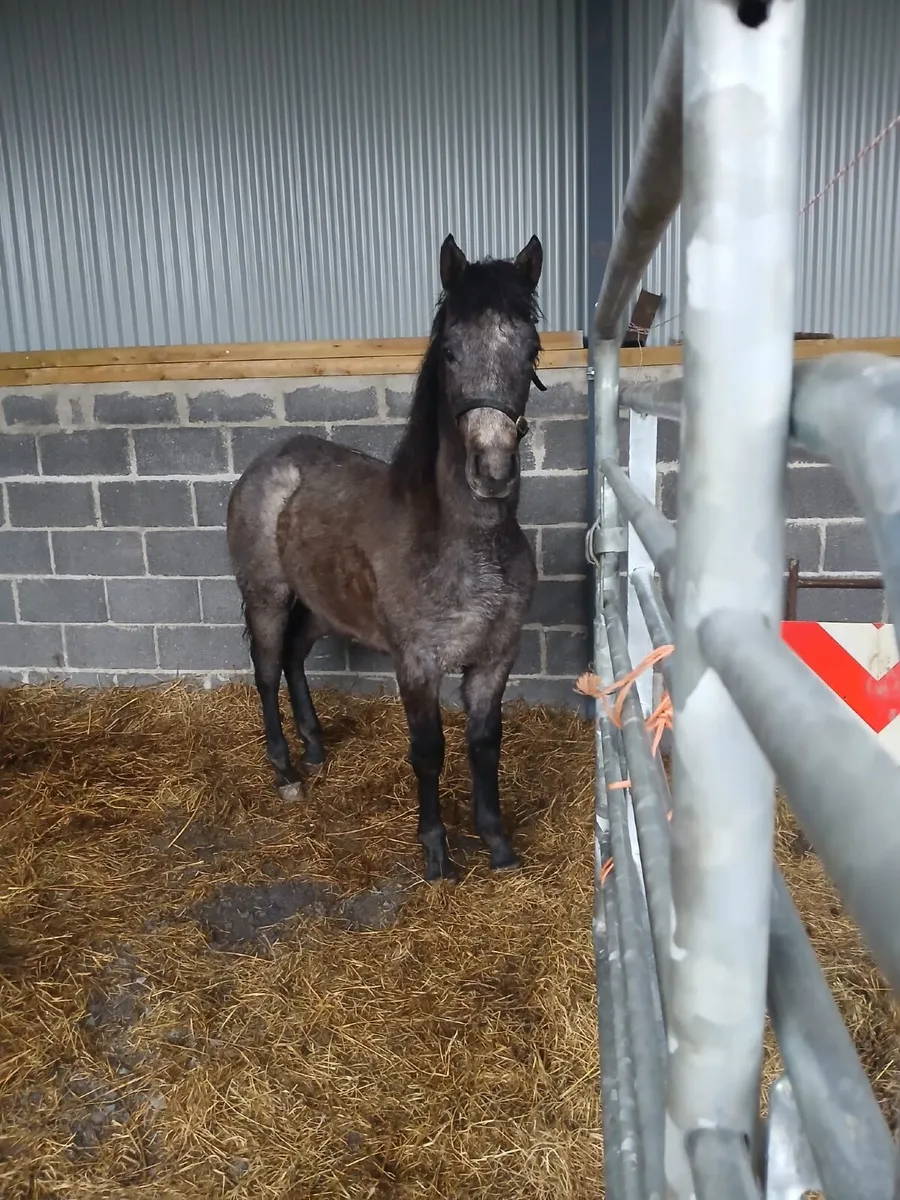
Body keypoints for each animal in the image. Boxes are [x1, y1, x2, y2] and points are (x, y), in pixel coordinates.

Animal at [226, 232, 544, 881]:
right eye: (449, 351)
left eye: (531, 349)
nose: (492, 471)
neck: (462, 544)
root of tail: (266, 464)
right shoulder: (417, 666)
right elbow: (429, 752)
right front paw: (437, 854)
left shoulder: (495, 660)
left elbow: (484, 746)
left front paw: (498, 846)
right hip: (266, 599)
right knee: (267, 671)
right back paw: (286, 773)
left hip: (321, 607)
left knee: (294, 659)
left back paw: (316, 748)